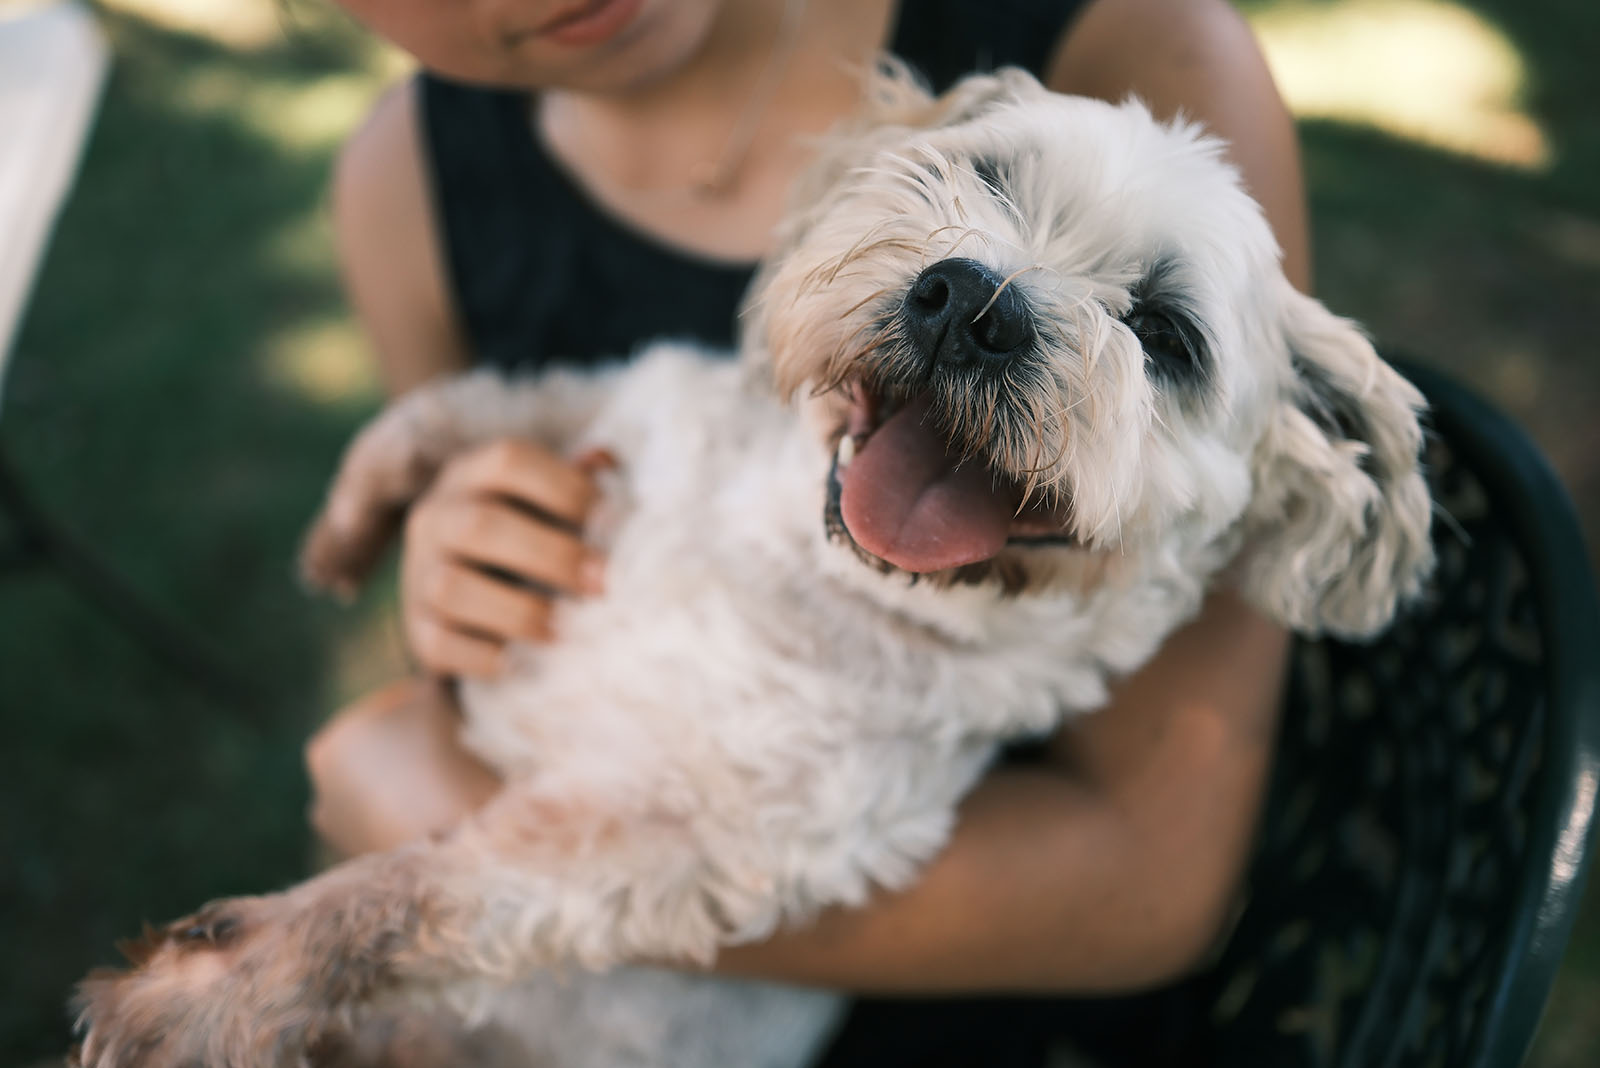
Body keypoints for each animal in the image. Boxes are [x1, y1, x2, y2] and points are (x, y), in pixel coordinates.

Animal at [75, 66, 1433, 1068]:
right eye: (984, 172)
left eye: (1165, 336)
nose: (969, 301)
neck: (796, 564)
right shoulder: (625, 407)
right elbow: (500, 398)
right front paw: (364, 509)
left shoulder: (679, 842)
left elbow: (422, 888)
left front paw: (228, 980)